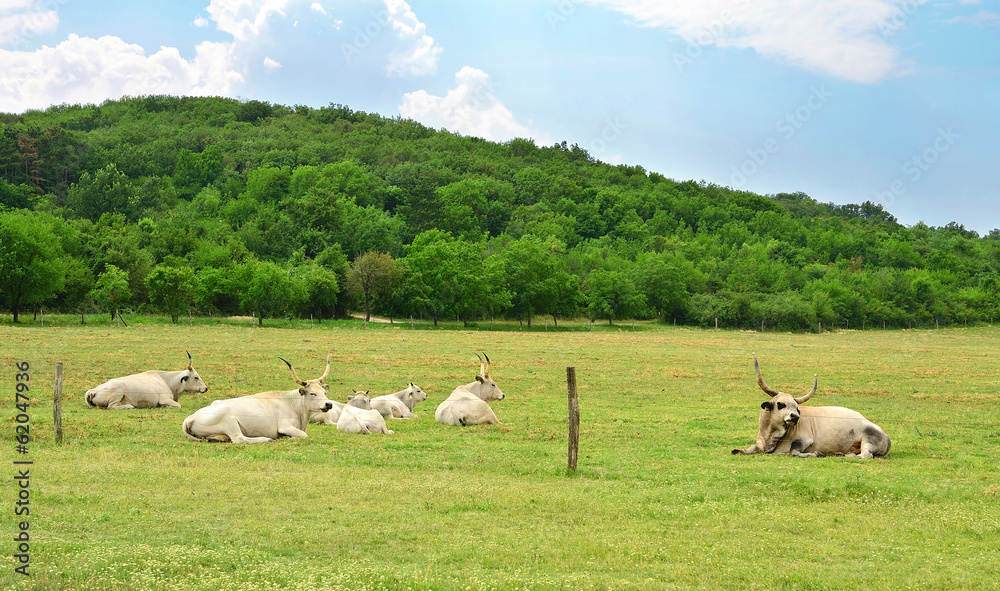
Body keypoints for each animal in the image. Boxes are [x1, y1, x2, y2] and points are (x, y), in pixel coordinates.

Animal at [182, 354, 334, 443]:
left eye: (323, 392)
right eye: (312, 393)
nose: (328, 404)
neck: (292, 403)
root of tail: (190, 418)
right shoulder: (286, 426)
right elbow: (303, 435)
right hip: (230, 422)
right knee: (239, 438)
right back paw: (266, 439)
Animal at [732, 354, 891, 458]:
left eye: (797, 408)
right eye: (780, 404)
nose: (795, 417)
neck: (771, 436)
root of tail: (885, 435)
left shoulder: (805, 440)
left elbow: (794, 452)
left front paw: (816, 453)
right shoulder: (760, 443)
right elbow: (751, 448)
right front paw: (739, 450)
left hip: (868, 440)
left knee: (865, 455)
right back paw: (841, 453)